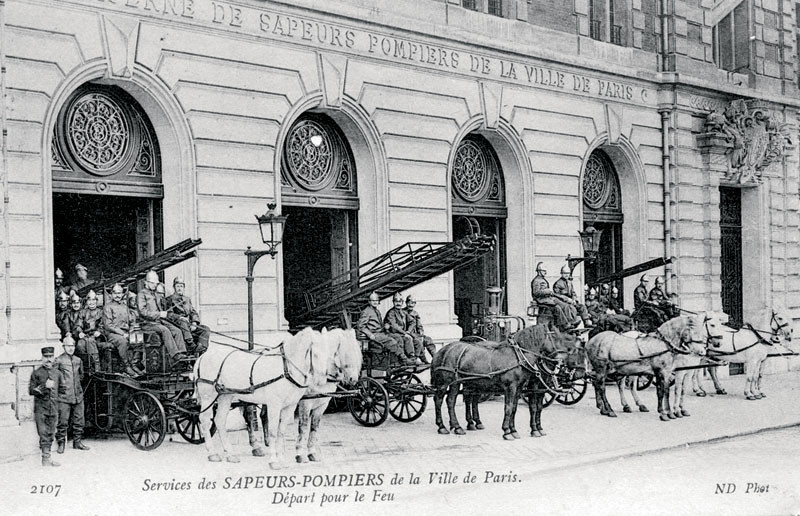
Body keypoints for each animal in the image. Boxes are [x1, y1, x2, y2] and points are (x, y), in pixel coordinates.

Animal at [197, 328, 338, 470]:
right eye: (316, 354)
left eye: (329, 354)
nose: (323, 380)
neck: (285, 368)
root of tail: (203, 356)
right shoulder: (274, 405)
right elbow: (273, 432)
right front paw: (274, 461)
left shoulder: (290, 406)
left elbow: (281, 432)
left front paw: (282, 460)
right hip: (208, 396)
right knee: (204, 420)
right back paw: (212, 453)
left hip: (225, 396)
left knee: (219, 420)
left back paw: (231, 454)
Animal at [434, 322, 584, 440]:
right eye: (554, 336)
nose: (560, 359)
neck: (519, 356)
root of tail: (444, 349)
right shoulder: (513, 387)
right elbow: (511, 407)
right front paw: (508, 431)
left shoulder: (521, 388)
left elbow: (516, 408)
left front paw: (515, 430)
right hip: (449, 383)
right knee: (445, 400)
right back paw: (448, 426)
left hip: (470, 383)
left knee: (466, 399)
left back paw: (466, 424)